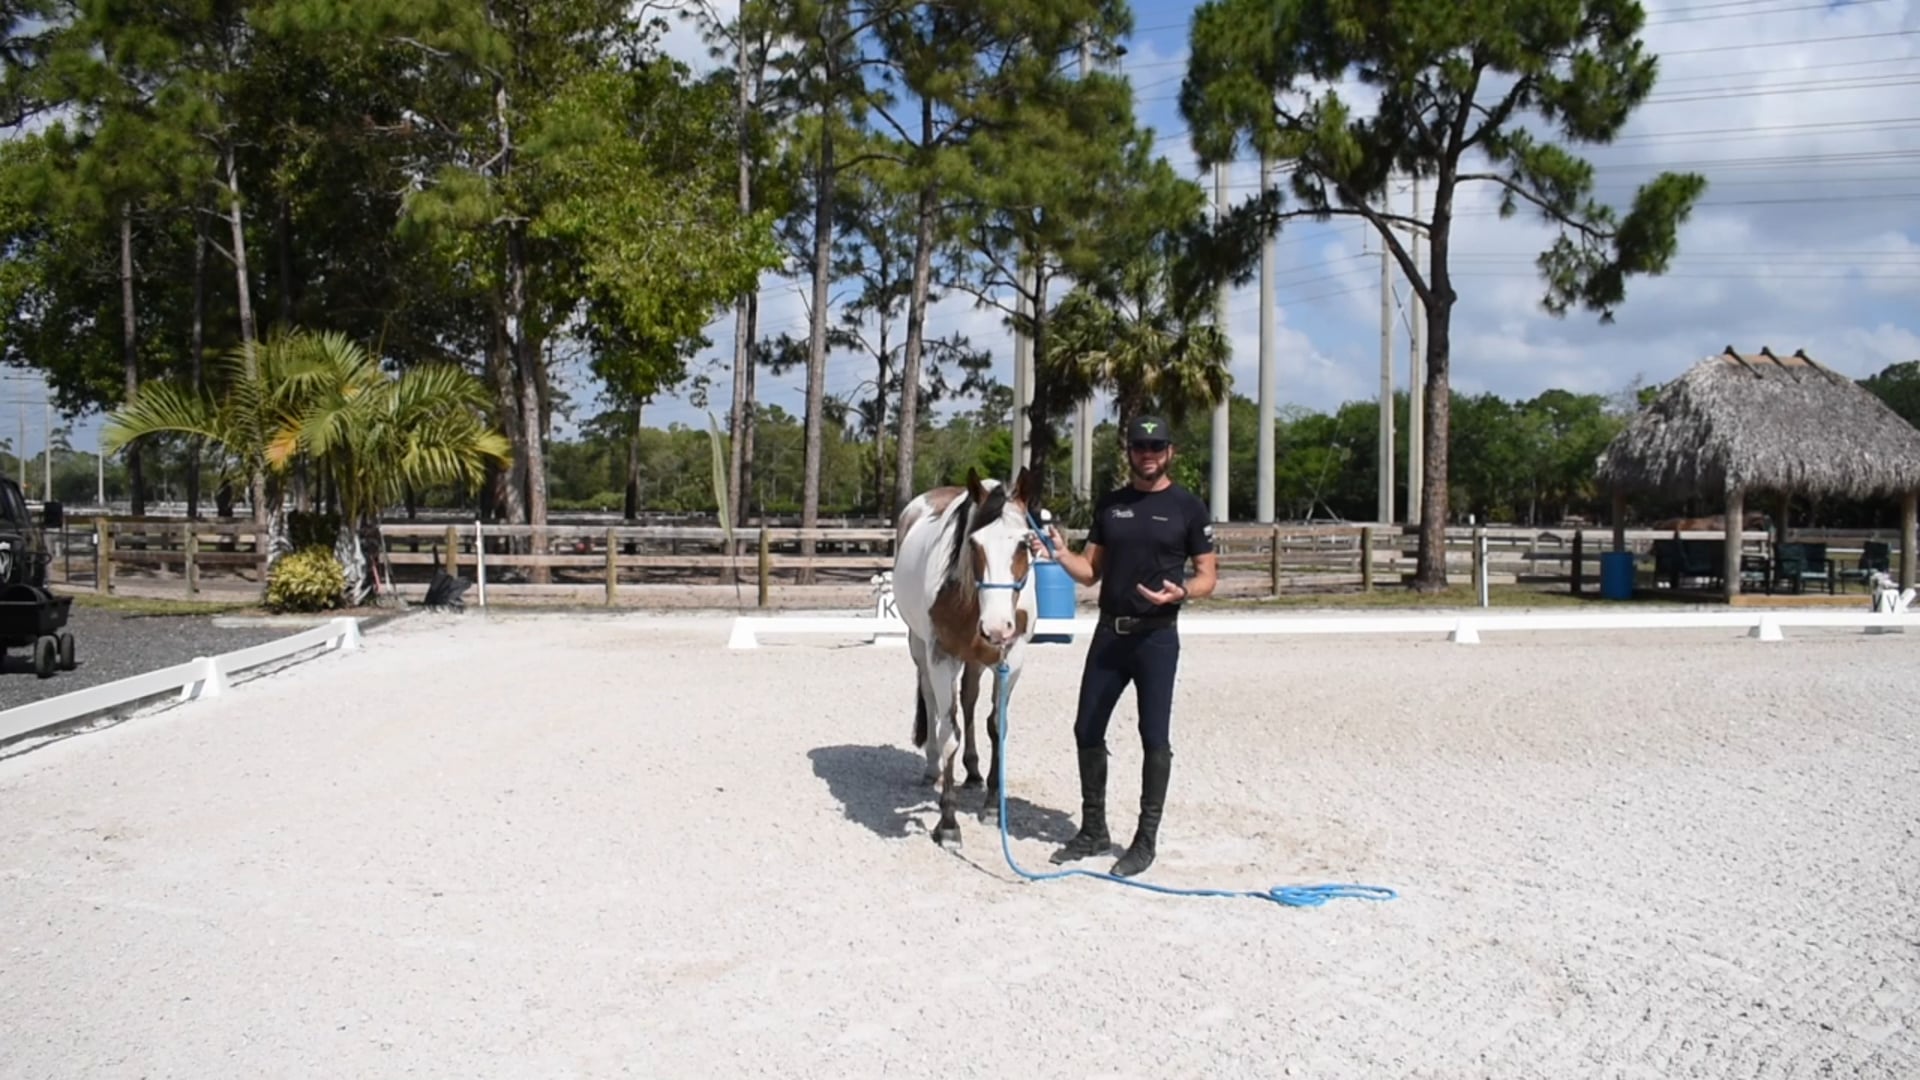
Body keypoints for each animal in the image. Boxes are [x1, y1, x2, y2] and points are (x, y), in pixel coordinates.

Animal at [891, 465, 1041, 849]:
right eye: (974, 544)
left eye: (1025, 543)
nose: (997, 627)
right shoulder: (941, 657)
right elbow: (949, 732)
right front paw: (947, 823)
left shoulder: (1012, 659)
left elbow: (996, 726)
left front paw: (991, 807)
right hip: (921, 649)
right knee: (932, 700)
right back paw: (932, 768)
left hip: (975, 659)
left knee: (970, 701)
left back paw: (972, 772)